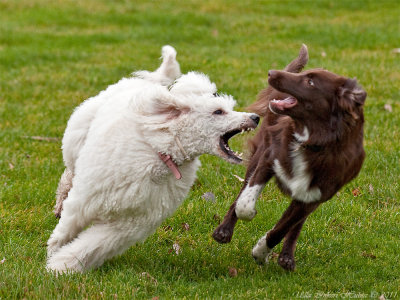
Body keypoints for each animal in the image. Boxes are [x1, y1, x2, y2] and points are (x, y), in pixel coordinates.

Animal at [47, 45, 260, 274]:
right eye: (218, 111)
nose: (256, 117)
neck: (161, 155)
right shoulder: (85, 201)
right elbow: (67, 228)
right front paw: (53, 254)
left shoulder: (125, 227)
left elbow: (91, 246)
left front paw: (62, 265)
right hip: (76, 142)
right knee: (68, 175)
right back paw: (60, 203)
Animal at [214, 45, 368, 272]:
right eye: (306, 75)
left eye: (310, 82)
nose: (271, 73)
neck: (311, 142)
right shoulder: (269, 157)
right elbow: (245, 203)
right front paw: (248, 217)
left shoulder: (315, 195)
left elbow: (282, 229)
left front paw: (261, 252)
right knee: (242, 191)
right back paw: (224, 230)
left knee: (296, 225)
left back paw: (287, 257)